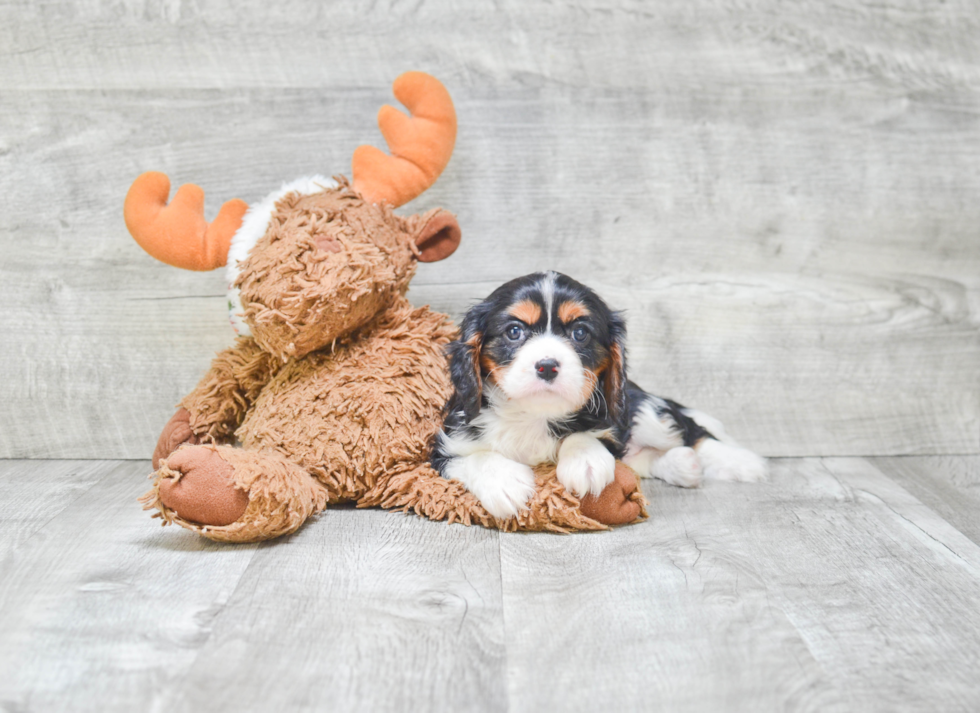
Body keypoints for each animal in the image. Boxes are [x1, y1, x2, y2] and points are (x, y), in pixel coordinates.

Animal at [430, 272, 764, 516]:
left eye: (580, 333)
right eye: (514, 331)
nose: (547, 366)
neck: (534, 415)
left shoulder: (610, 423)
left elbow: (589, 434)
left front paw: (585, 461)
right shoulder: (443, 449)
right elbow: (473, 458)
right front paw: (504, 481)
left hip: (648, 413)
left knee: (692, 431)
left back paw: (743, 462)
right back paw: (684, 466)